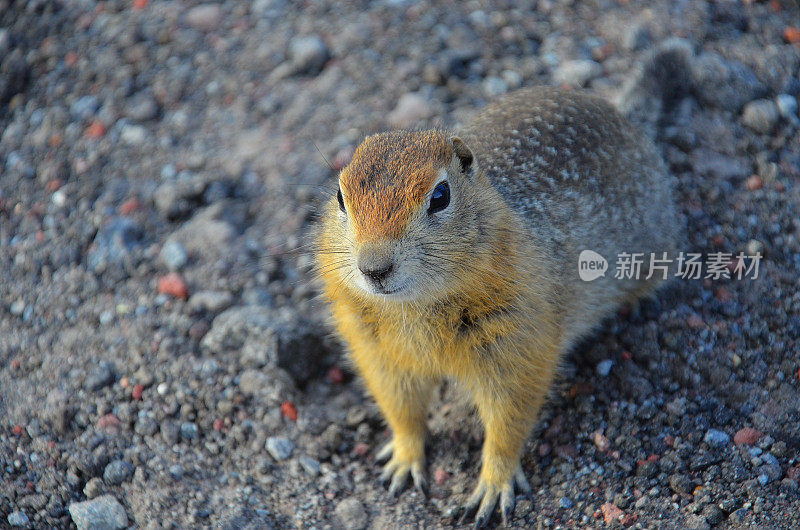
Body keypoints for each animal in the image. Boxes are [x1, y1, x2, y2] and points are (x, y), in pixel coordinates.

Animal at [316, 86, 680, 524]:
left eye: (440, 196)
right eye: (340, 197)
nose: (374, 267)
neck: (415, 306)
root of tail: (622, 115)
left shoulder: (518, 340)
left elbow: (509, 416)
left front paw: (492, 486)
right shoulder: (376, 350)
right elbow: (401, 407)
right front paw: (403, 460)